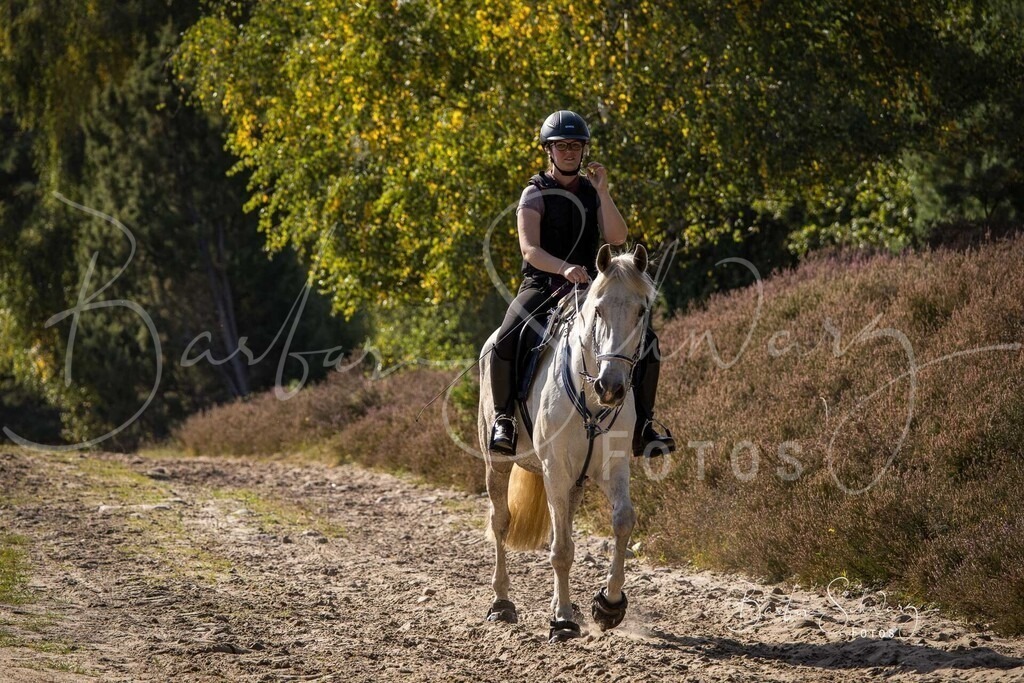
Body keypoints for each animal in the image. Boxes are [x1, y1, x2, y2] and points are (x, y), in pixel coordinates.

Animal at [477, 243, 656, 642]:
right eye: (598, 309)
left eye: (641, 310)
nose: (611, 387)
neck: (590, 399)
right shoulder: (555, 471)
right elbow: (560, 549)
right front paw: (562, 622)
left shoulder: (612, 467)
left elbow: (623, 521)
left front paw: (608, 605)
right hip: (497, 462)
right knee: (501, 522)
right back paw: (502, 603)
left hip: (576, 480)